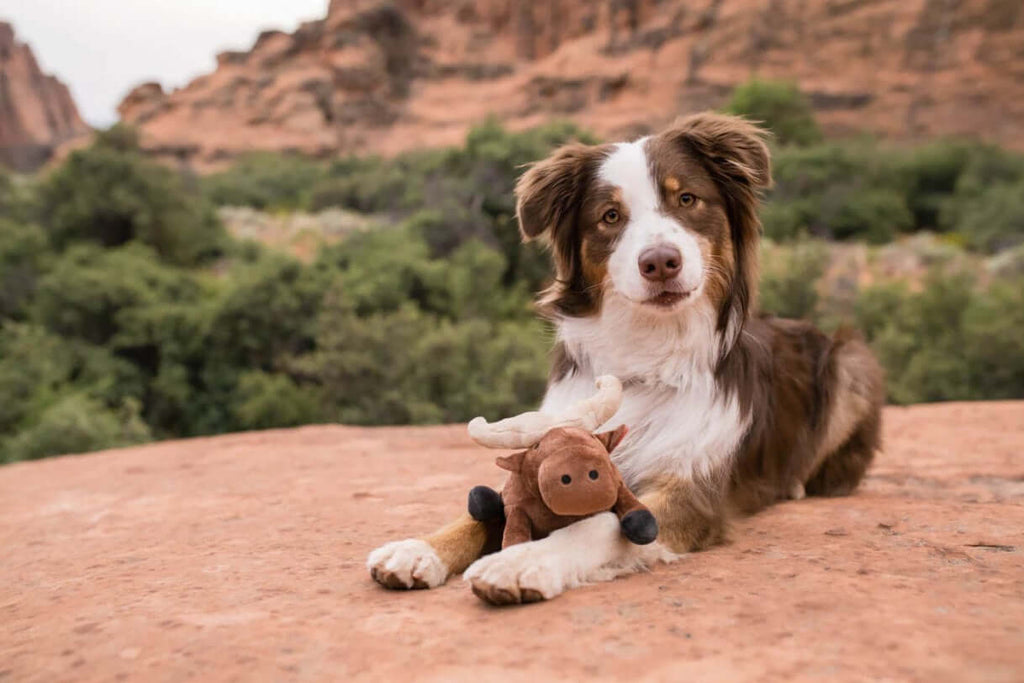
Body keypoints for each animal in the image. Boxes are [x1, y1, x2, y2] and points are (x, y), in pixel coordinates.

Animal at [368, 114, 888, 606]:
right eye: (611, 216)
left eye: (687, 200)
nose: (660, 262)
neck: (648, 352)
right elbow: (481, 511)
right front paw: (420, 548)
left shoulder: (692, 490)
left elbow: (598, 525)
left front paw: (522, 561)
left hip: (853, 360)